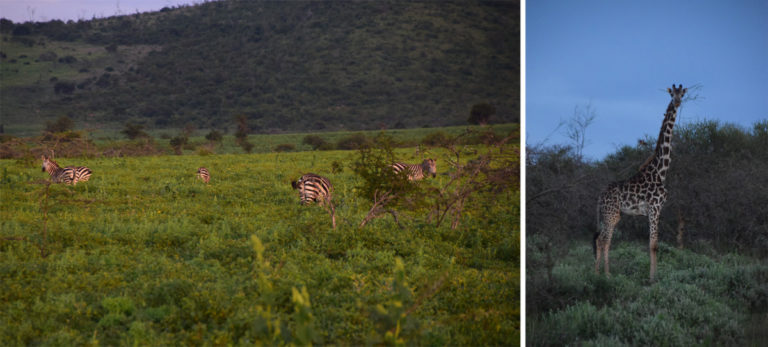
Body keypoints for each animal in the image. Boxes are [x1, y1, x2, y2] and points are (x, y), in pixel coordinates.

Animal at [592, 84, 688, 282]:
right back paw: (604, 275)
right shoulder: (655, 208)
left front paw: (653, 276)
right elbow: (653, 245)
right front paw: (653, 279)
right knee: (603, 240)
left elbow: (652, 245)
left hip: (611, 215)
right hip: (611, 215)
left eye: (682, 94)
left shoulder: (652, 212)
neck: (660, 171)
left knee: (602, 239)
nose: (677, 102)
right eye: (671, 94)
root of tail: (600, 197)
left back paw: (601, 273)